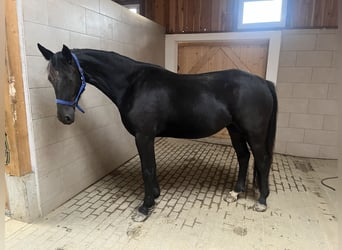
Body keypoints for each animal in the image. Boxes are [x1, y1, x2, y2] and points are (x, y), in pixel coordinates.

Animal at [38, 43, 278, 221]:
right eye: (50, 78)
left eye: (70, 77)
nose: (65, 117)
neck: (132, 84)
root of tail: (263, 82)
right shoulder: (146, 137)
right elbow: (151, 167)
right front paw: (155, 195)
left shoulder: (143, 135)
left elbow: (147, 169)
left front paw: (145, 208)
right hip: (234, 129)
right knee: (244, 156)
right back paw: (236, 193)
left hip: (254, 133)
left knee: (262, 160)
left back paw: (262, 201)